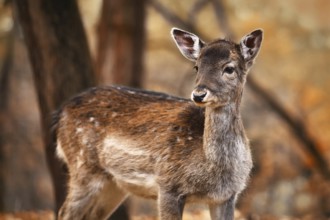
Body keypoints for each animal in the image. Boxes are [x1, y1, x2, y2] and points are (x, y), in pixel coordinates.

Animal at [54, 27, 262, 220]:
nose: (199, 94)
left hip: (112, 184)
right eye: (196, 67)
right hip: (83, 167)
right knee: (64, 212)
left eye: (229, 68)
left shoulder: (227, 196)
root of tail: (61, 113)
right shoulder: (168, 185)